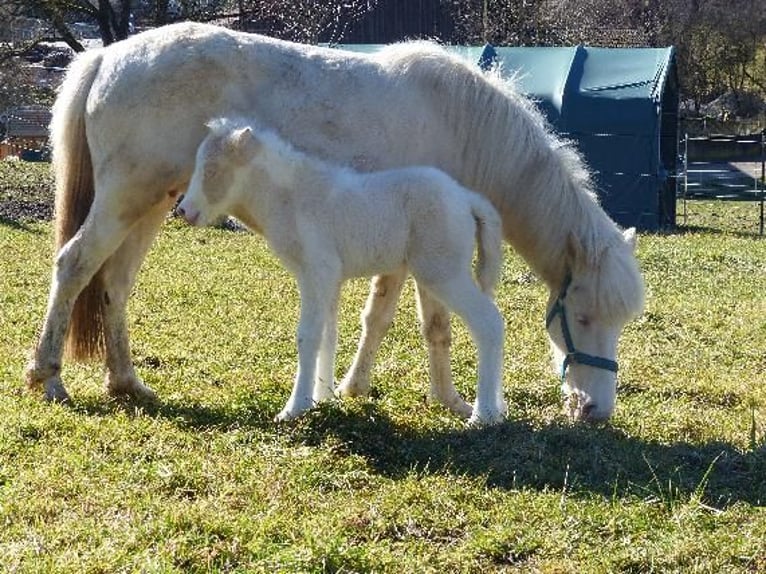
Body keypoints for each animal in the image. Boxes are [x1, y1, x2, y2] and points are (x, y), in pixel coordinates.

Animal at [176, 118, 506, 424]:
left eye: (212, 170)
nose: (184, 211)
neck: (292, 198)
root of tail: (466, 198)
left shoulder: (316, 272)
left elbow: (308, 335)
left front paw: (295, 408)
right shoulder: (330, 279)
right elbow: (327, 334)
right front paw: (322, 398)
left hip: (442, 272)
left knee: (490, 322)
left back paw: (484, 415)